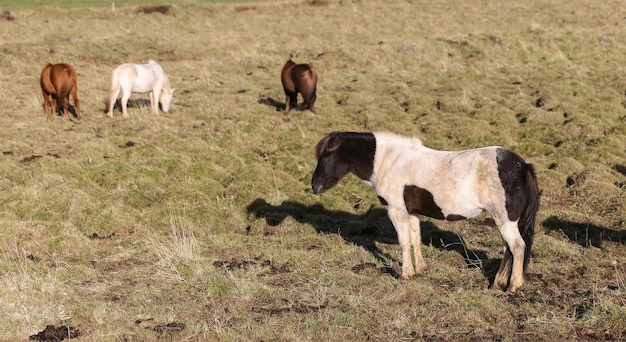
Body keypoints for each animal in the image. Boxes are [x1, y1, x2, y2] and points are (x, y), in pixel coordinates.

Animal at [310, 131, 540, 292]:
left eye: (326, 156)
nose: (314, 186)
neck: (390, 161)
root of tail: (522, 166)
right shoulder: (411, 212)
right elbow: (415, 238)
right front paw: (419, 269)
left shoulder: (396, 211)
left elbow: (404, 241)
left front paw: (405, 274)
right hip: (504, 221)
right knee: (508, 249)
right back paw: (498, 283)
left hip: (505, 220)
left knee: (517, 247)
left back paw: (514, 285)